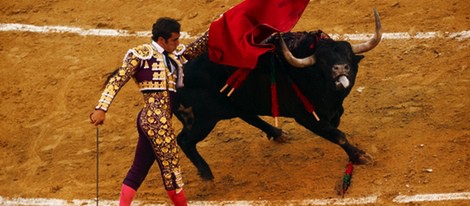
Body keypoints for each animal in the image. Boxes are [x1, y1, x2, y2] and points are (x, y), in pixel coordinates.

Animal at [173, 10, 382, 180]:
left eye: (348, 56)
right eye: (322, 62)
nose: (340, 69)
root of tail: (175, 78)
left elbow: (336, 124)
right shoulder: (307, 117)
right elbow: (338, 135)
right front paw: (360, 156)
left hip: (231, 105)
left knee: (248, 116)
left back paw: (278, 133)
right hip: (202, 120)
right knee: (184, 140)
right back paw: (206, 173)